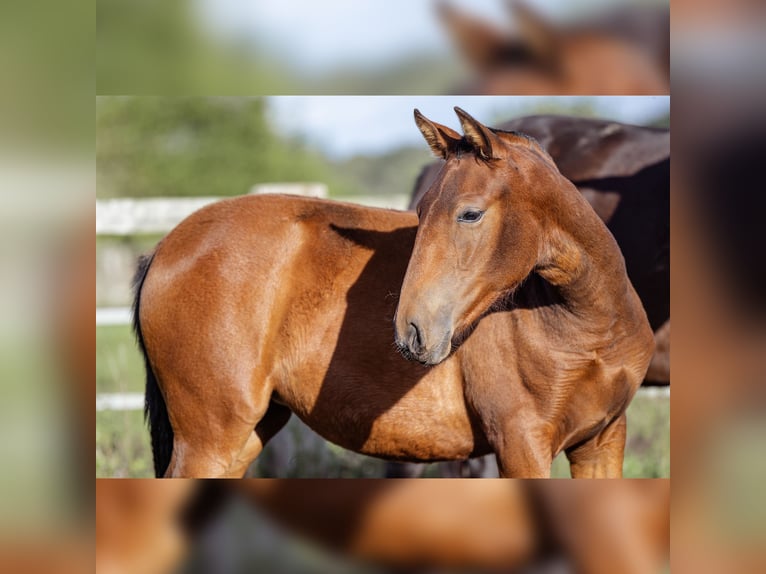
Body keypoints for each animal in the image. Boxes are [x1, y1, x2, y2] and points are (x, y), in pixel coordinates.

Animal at [134, 107, 656, 476]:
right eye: (420, 211)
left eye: (469, 213)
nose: (413, 332)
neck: (587, 325)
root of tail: (166, 246)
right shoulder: (521, 446)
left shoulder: (602, 443)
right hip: (211, 440)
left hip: (249, 434)